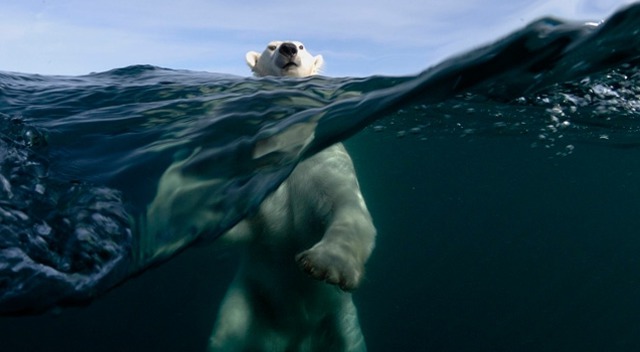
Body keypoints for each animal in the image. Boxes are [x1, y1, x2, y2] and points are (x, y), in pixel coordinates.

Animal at [209, 42, 376, 352]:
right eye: (271, 46)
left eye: (301, 46)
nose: (288, 49)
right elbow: (246, 225)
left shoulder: (323, 161)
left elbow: (346, 205)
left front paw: (325, 264)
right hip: (248, 299)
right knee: (226, 335)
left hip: (340, 319)